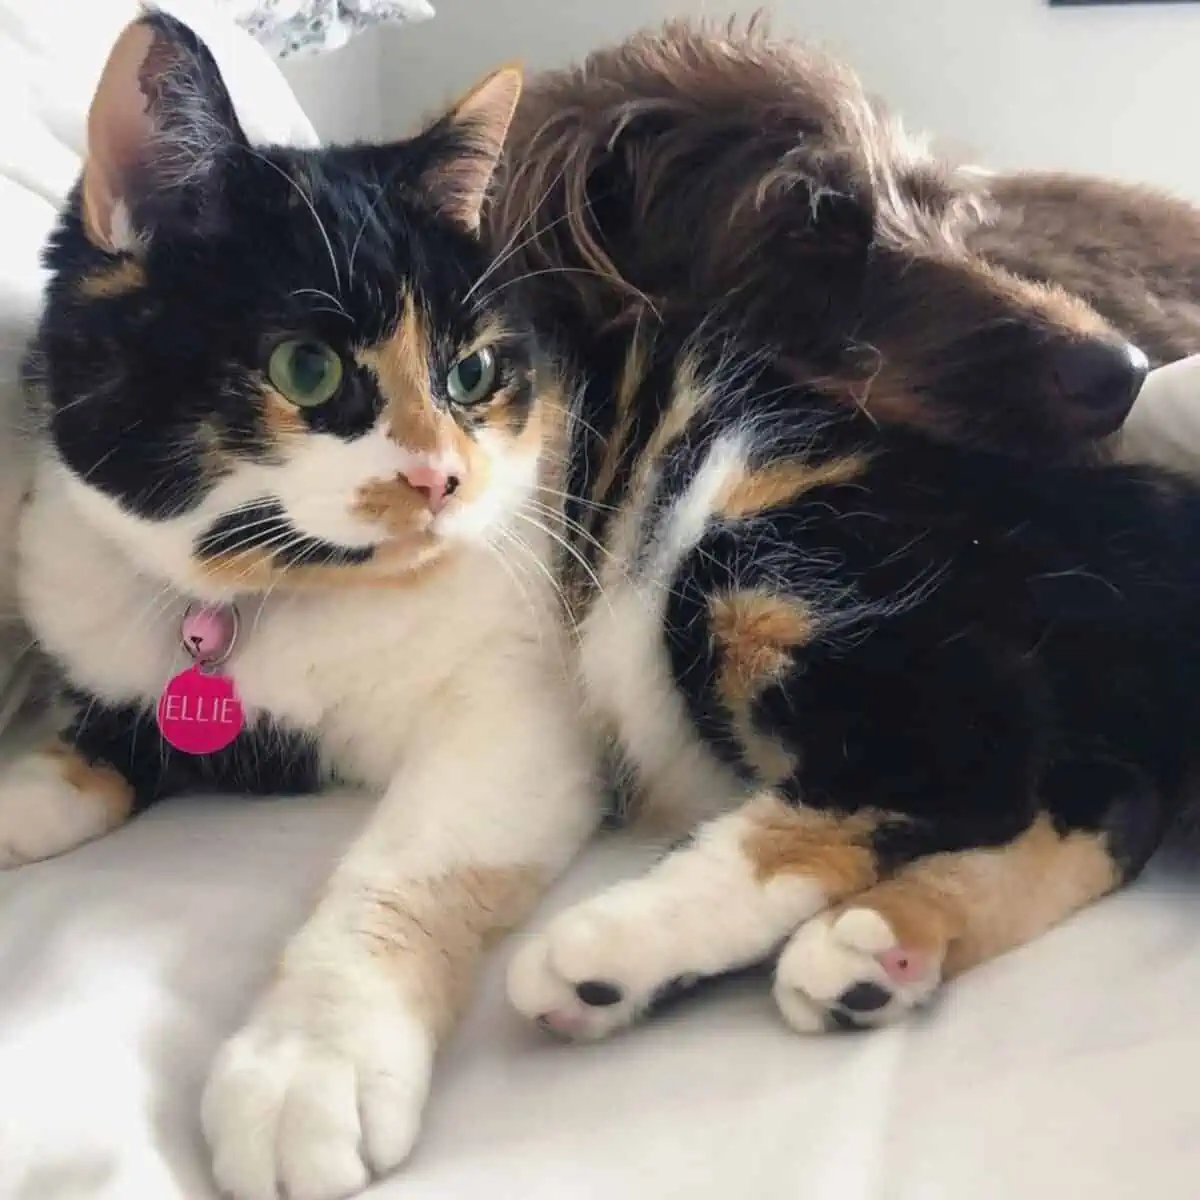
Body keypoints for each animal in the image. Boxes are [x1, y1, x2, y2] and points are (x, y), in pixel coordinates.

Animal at [10, 11, 600, 1200]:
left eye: (473, 375)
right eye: (308, 367)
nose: (440, 480)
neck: (268, 594)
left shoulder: (517, 706)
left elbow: (409, 868)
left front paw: (308, 1065)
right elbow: (98, 744)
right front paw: (26, 797)